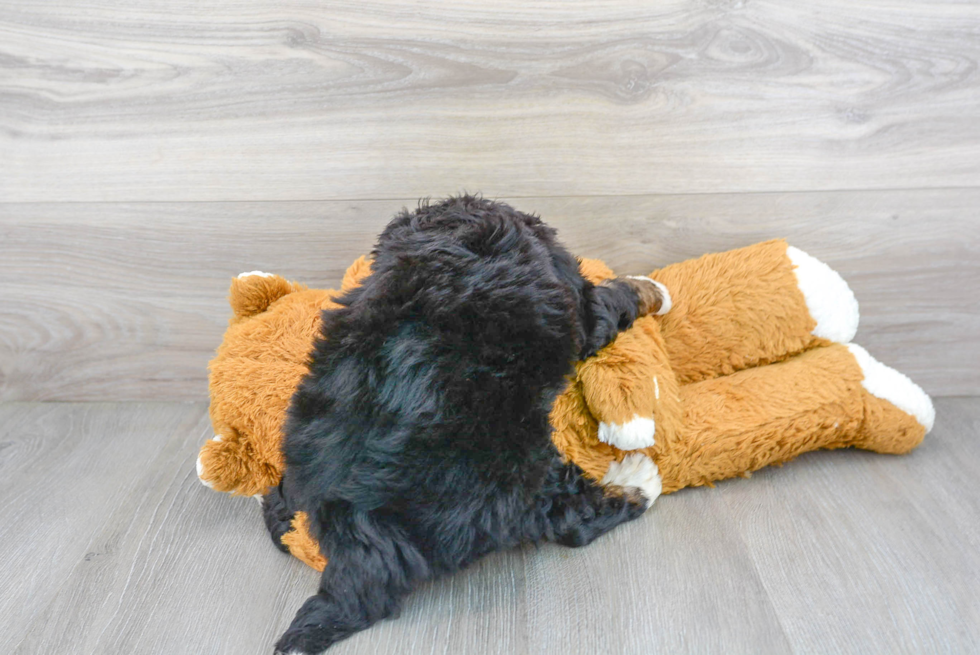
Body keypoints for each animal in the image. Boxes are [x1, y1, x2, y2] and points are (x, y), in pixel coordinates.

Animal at [266, 197, 668, 652]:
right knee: (566, 517)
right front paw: (649, 288)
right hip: (505, 470)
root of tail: (352, 519)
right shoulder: (582, 309)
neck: (451, 241)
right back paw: (638, 482)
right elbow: (610, 299)